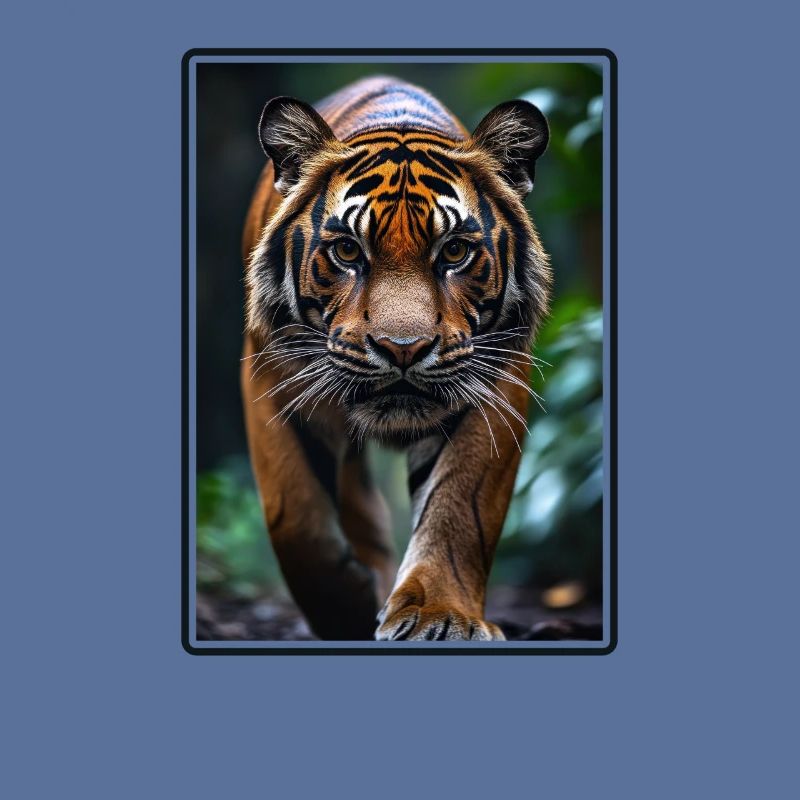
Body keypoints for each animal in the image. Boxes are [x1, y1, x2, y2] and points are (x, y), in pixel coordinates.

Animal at [241, 76, 551, 641]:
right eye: (346, 251)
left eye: (454, 252)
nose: (402, 348)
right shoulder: (270, 373)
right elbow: (296, 516)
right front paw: (346, 610)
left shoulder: (496, 378)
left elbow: (459, 503)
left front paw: (440, 616)